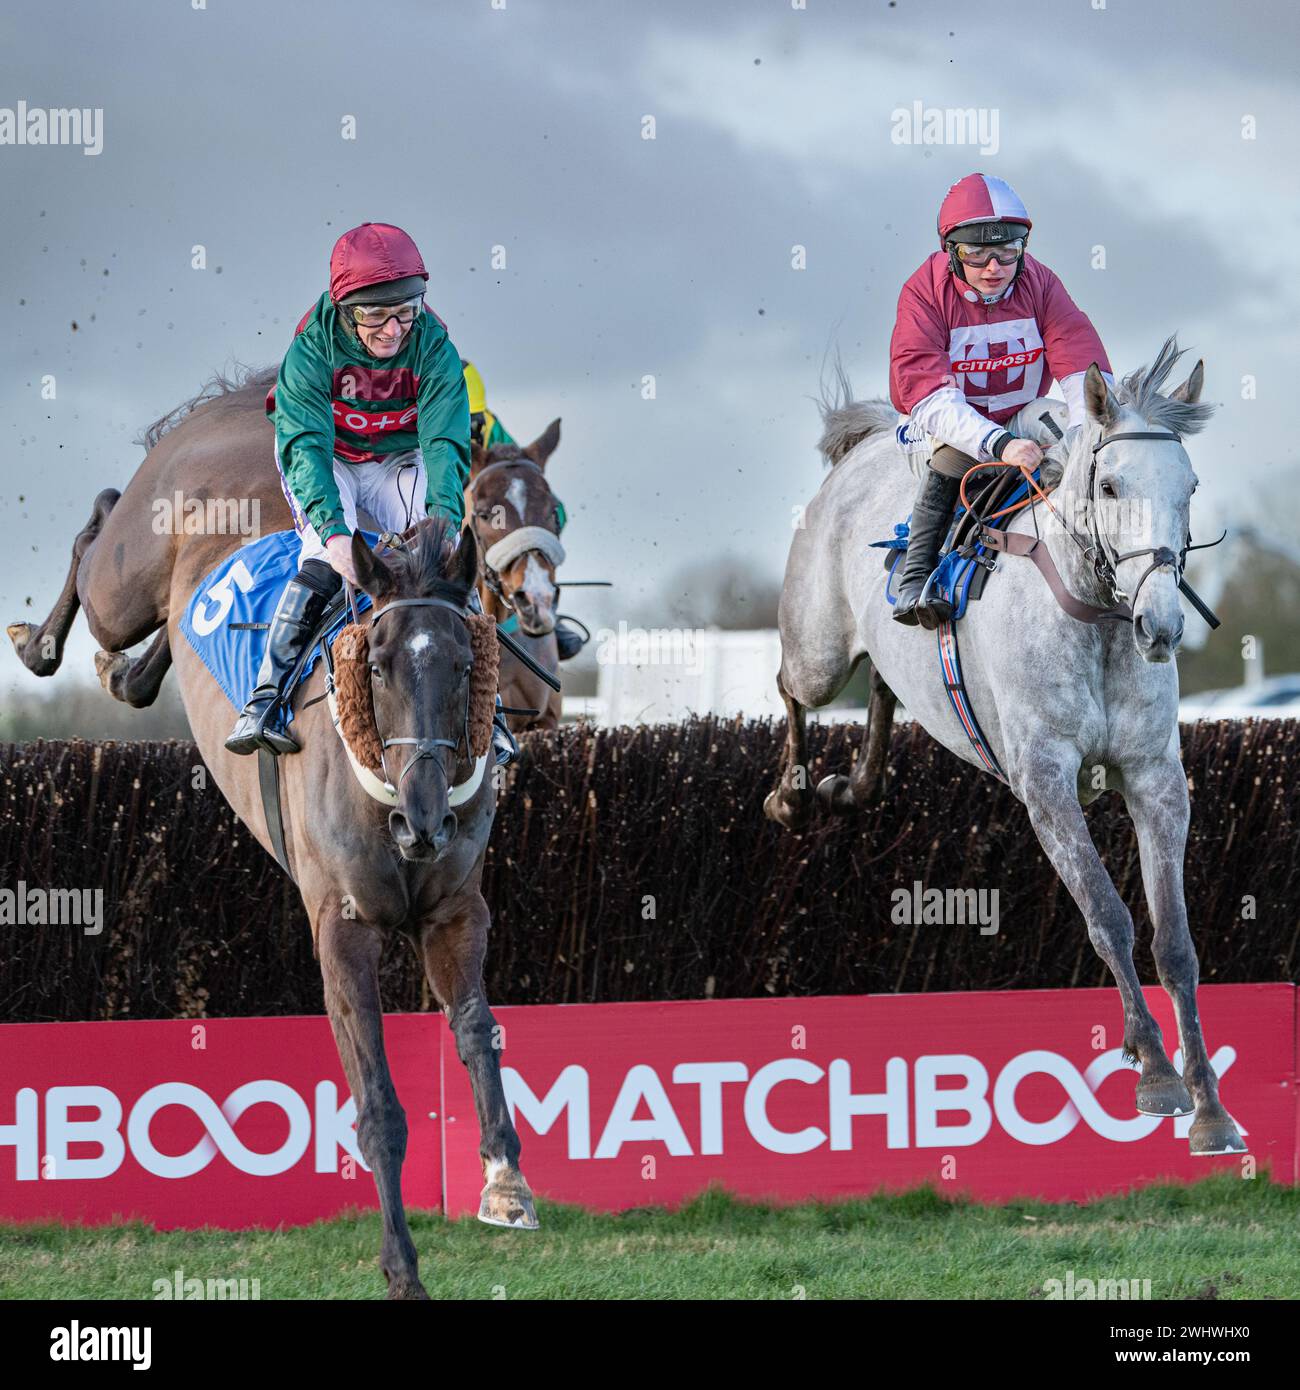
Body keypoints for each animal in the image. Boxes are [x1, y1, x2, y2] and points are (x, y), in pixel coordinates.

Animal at [8, 366, 539, 1289]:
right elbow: (377, 1106)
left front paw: (505, 1182)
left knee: (144, 658)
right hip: (124, 576)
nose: (425, 821)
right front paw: (402, 1267)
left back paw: (127, 670)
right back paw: (40, 640)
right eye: (378, 664)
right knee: (96, 535)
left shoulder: (455, 912)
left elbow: (479, 1031)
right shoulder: (343, 927)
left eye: (468, 661)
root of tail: (235, 402)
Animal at [767, 339, 1245, 1162]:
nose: (1159, 625)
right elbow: (1108, 915)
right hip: (817, 648)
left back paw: (847, 787)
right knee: (792, 685)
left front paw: (1210, 1107)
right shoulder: (1046, 782)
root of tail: (866, 440)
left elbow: (1176, 939)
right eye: (1111, 484)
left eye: (1189, 485)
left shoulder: (1155, 777)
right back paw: (794, 794)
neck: (1095, 621)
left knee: (884, 690)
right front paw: (1155, 1070)